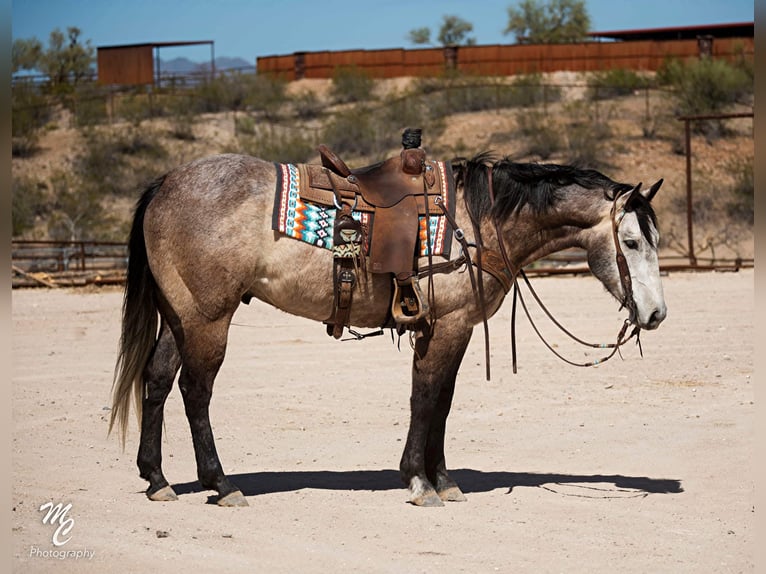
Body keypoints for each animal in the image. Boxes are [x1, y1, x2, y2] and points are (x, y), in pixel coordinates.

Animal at [108, 151, 664, 506]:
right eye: (632, 242)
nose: (656, 315)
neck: (477, 222)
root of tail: (165, 183)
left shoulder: (448, 329)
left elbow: (442, 401)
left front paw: (443, 479)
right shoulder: (448, 327)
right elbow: (427, 398)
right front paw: (419, 482)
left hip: (179, 316)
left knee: (157, 381)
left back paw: (156, 478)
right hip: (208, 318)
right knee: (195, 391)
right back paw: (221, 485)